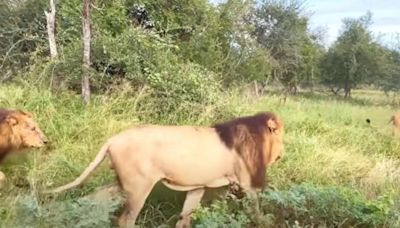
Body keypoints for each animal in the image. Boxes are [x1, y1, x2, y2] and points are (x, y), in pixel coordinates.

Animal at [47, 111, 284, 227]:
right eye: (281, 135)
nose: (283, 152)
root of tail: (113, 139)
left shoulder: (197, 187)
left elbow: (185, 218)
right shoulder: (248, 183)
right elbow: (256, 209)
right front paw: (266, 222)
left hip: (122, 184)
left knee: (94, 200)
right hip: (139, 188)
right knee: (125, 220)